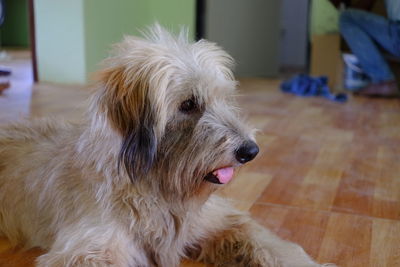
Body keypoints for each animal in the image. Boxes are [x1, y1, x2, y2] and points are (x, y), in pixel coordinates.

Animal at [0, 25, 334, 267]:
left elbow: (272, 245)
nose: (250, 152)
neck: (158, 189)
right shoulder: (89, 249)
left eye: (224, 97)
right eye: (188, 104)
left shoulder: (221, 222)